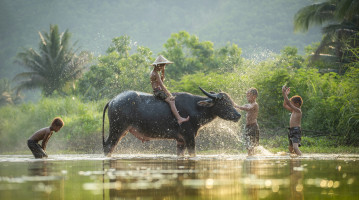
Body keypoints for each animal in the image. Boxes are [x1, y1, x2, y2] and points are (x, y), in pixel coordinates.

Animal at [102, 86, 242, 157]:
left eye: (230, 102)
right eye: (224, 103)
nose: (238, 115)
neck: (195, 107)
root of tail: (113, 100)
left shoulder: (180, 140)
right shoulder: (189, 136)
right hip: (117, 130)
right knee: (108, 146)